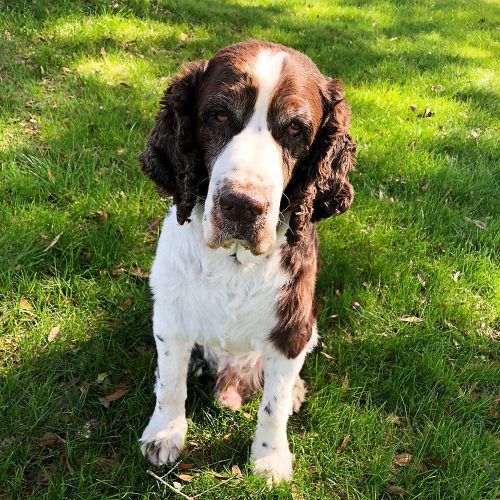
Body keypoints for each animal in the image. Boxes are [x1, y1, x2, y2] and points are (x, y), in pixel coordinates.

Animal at [139, 41, 354, 486]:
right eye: (219, 114)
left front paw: (270, 458)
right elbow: (170, 384)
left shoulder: (292, 328)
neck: (234, 262)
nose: (241, 205)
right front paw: (165, 433)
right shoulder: (170, 317)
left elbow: (273, 405)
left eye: (296, 129)